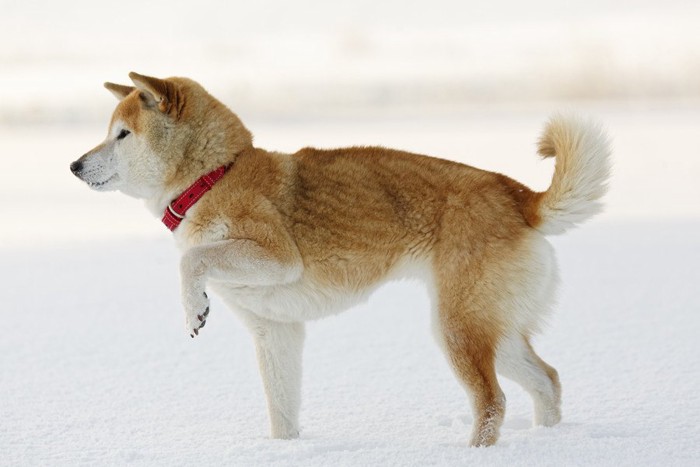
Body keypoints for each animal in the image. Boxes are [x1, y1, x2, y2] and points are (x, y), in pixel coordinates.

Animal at [68, 72, 608, 446]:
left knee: (493, 401)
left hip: (458, 328)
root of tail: (519, 197)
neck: (213, 177)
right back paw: (548, 440)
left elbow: (192, 260)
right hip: (492, 329)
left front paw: (193, 308)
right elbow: (282, 410)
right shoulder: (275, 331)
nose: (73, 165)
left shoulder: (277, 257)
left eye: (122, 135)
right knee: (548, 380)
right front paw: (283, 452)